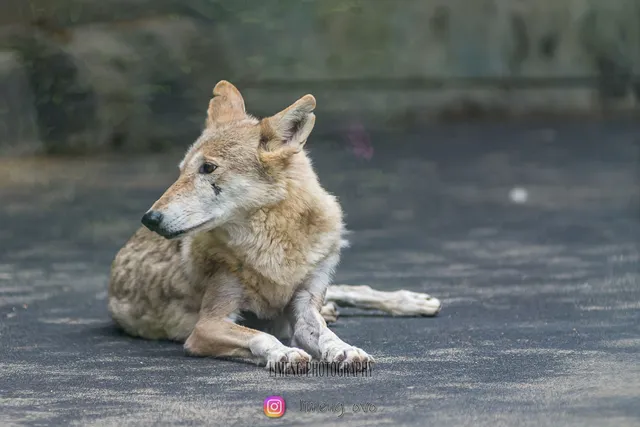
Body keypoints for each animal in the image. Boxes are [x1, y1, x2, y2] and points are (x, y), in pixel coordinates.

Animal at [108, 81, 441, 371]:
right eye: (181, 172)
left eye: (208, 168)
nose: (150, 218)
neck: (275, 243)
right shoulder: (206, 326)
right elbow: (260, 335)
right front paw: (285, 354)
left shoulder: (305, 309)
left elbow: (327, 335)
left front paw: (346, 350)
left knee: (348, 290)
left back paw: (410, 301)